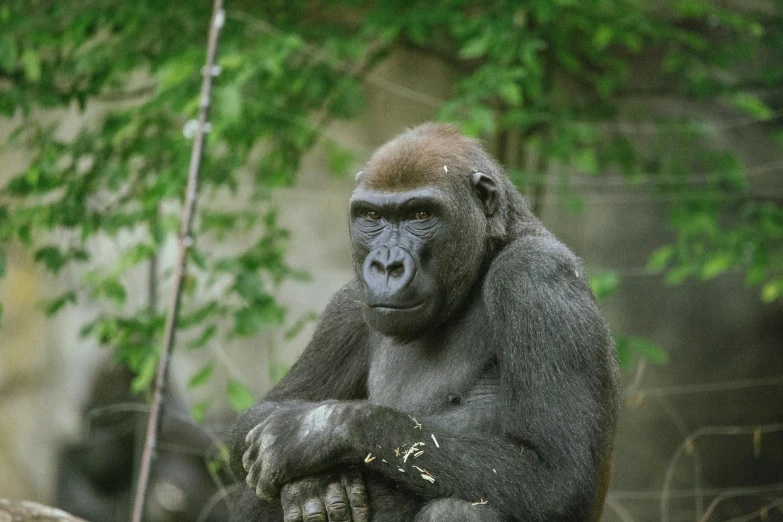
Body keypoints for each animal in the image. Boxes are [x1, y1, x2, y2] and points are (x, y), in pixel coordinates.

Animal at [227, 123, 620, 520]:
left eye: (420, 215)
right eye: (372, 217)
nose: (386, 265)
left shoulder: (536, 276)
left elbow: (554, 477)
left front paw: (310, 432)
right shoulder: (347, 307)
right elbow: (253, 418)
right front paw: (312, 482)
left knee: (460, 508)